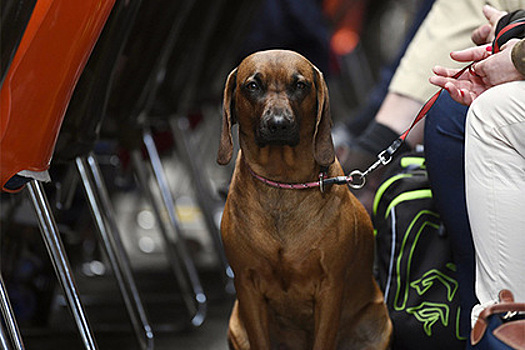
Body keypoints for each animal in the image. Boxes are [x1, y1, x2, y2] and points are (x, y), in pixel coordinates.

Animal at [215, 50, 390, 350]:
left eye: (300, 85)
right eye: (252, 86)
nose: (278, 124)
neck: (282, 182)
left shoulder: (330, 288)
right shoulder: (247, 287)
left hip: (378, 323)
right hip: (237, 325)